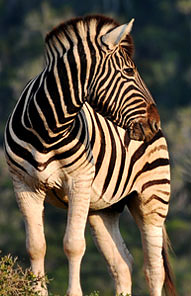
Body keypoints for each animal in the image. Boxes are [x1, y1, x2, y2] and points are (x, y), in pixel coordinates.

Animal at [3, 15, 176, 296]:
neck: (47, 130)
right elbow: (36, 246)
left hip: (152, 197)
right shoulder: (25, 186)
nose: (154, 124)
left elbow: (73, 244)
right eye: (129, 72)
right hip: (103, 209)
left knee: (154, 270)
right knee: (122, 264)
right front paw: (37, 291)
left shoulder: (79, 181)